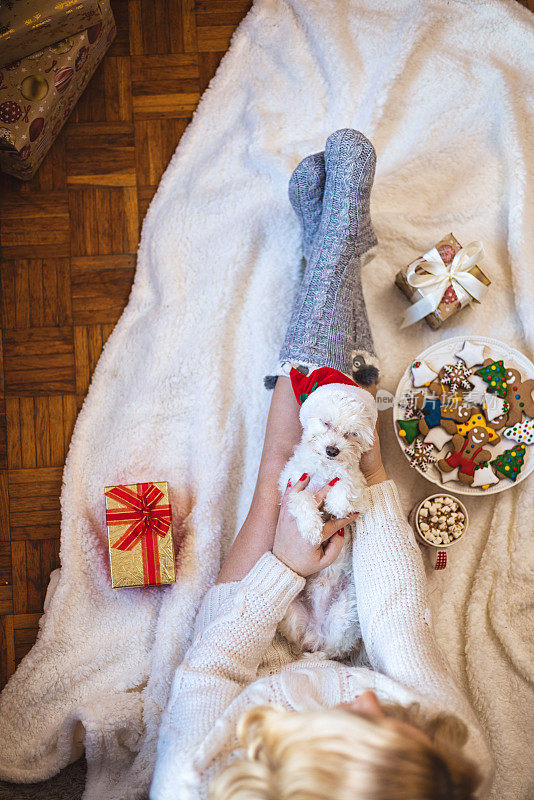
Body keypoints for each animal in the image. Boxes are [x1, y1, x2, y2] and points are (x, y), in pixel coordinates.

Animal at [278, 384, 378, 660]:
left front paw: (336, 505)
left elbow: (346, 485)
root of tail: (316, 634)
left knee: (332, 648)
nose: (333, 450)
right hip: (292, 613)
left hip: (345, 613)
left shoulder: (359, 487)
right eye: (326, 423)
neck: (324, 468)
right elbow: (302, 498)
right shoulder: (290, 486)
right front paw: (313, 528)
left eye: (351, 433)